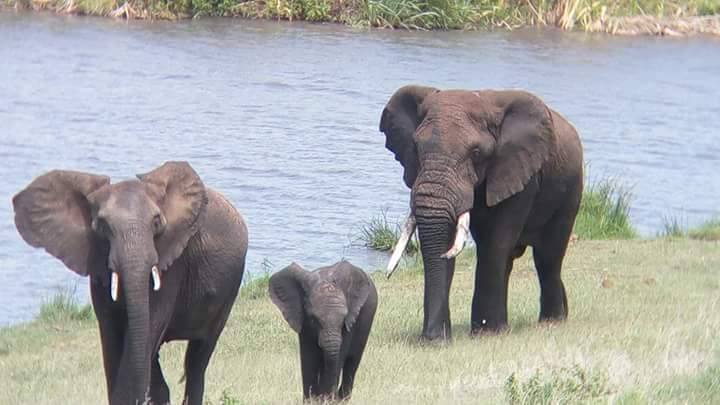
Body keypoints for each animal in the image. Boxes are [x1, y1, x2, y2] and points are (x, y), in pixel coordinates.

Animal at [10, 161, 248, 404]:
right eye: (103, 225)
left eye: (156, 222)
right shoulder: (97, 266)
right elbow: (111, 339)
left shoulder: (173, 266)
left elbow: (145, 334)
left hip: (227, 297)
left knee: (197, 360)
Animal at [270, 260, 380, 400]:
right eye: (313, 319)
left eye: (343, 318)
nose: (330, 396)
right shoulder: (304, 322)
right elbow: (308, 358)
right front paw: (311, 399)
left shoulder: (349, 324)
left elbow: (338, 356)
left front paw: (324, 399)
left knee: (352, 362)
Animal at [380, 85, 584, 340]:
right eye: (416, 148)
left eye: (476, 153)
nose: (431, 338)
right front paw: (437, 340)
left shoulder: (519, 174)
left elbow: (496, 243)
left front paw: (486, 333)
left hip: (570, 192)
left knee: (547, 257)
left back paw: (551, 322)